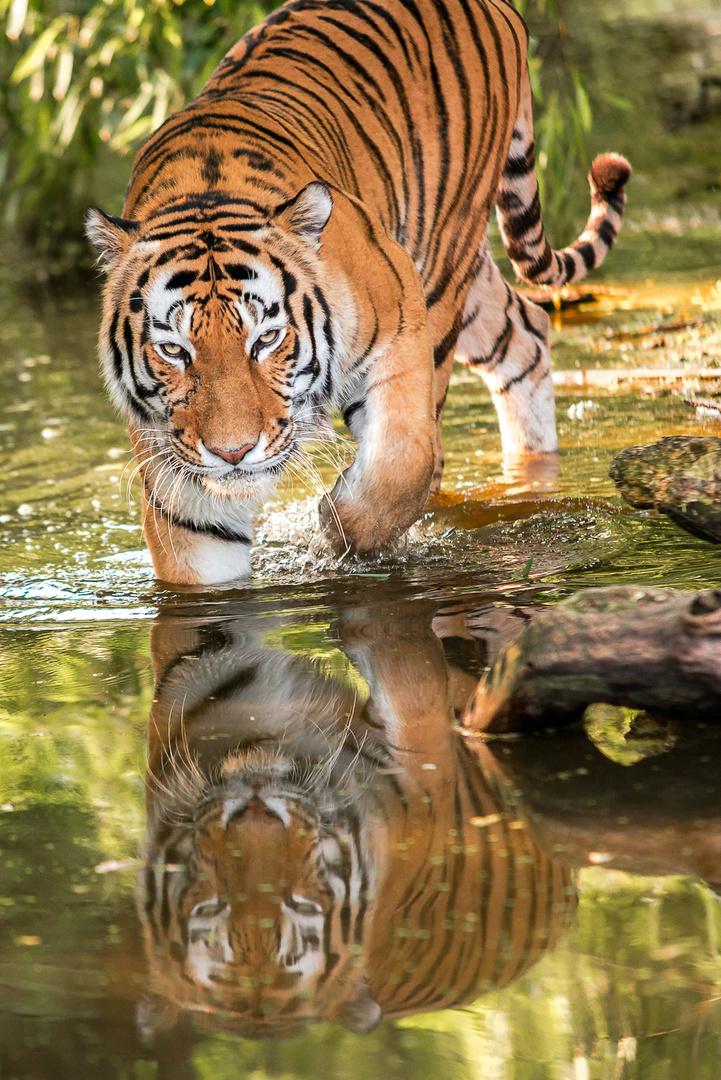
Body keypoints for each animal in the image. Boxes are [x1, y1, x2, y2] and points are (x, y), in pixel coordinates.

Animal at [84, 0, 630, 583]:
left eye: (266, 339)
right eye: (173, 350)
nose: (233, 453)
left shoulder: (401, 320)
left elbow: (402, 461)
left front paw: (339, 530)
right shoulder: (173, 466)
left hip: (444, 270)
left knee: (438, 440)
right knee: (527, 331)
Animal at [134, 600, 574, 1036]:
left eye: (300, 908)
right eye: (211, 911)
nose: (256, 812)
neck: (264, 743)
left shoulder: (423, 747)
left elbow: (402, 652)